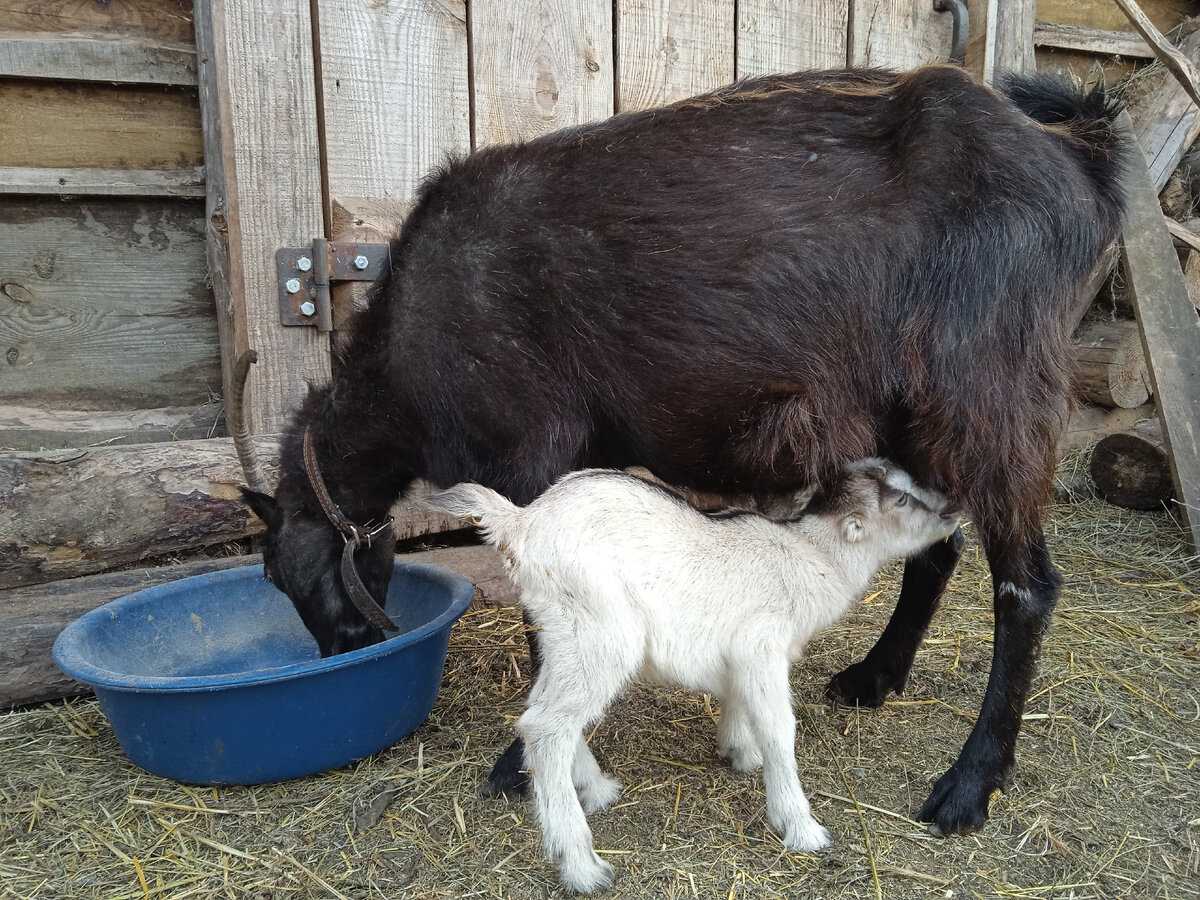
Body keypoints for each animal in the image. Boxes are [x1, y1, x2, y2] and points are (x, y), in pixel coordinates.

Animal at [241, 65, 1123, 840]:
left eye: (283, 571)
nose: (344, 651)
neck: (406, 353)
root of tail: (1077, 160)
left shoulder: (525, 453)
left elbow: (538, 615)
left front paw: (519, 767)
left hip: (991, 389)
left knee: (1026, 588)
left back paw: (969, 785)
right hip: (916, 413)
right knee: (937, 545)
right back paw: (874, 677)